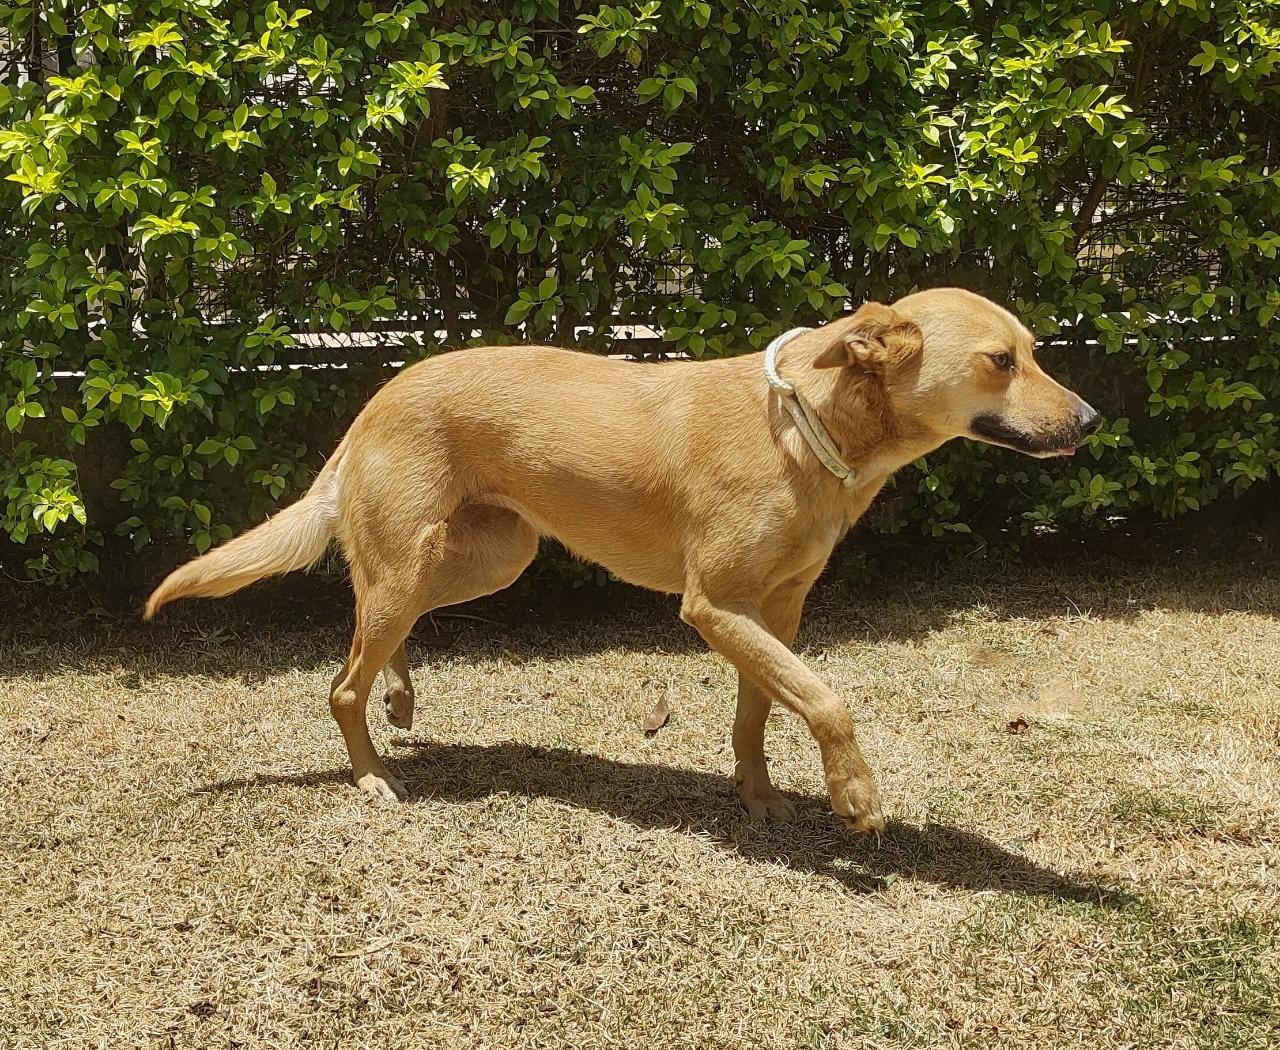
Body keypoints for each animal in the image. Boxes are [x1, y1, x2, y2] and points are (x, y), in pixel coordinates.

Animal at [142, 285, 1100, 829]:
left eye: (1035, 351)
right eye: (1000, 360)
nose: (1092, 420)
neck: (805, 426)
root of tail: (376, 398)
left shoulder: (774, 612)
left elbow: (763, 711)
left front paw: (757, 796)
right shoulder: (714, 607)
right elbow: (827, 699)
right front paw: (855, 796)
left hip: (487, 558)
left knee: (373, 632)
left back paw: (402, 694)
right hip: (422, 560)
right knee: (342, 680)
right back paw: (372, 775)